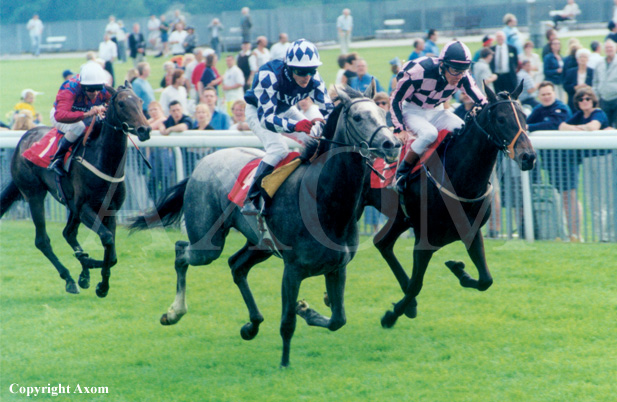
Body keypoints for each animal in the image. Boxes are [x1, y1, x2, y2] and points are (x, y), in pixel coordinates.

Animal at [0, 82, 150, 296]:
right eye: (121, 103)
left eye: (140, 101)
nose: (145, 129)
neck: (104, 161)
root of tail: (24, 138)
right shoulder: (84, 207)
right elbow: (106, 238)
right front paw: (94, 273)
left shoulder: (109, 209)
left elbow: (111, 253)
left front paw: (99, 282)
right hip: (34, 195)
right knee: (42, 240)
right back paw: (70, 278)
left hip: (70, 204)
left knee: (68, 233)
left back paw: (83, 271)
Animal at [129, 84, 400, 368]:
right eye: (358, 117)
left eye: (382, 112)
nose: (392, 144)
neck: (324, 199)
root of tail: (201, 164)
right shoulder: (292, 269)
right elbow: (288, 323)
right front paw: (284, 363)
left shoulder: (337, 267)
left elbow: (338, 319)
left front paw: (307, 310)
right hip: (208, 243)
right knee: (182, 250)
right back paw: (174, 312)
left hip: (260, 245)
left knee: (236, 266)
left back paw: (252, 325)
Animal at [372, 81, 536, 326]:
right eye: (501, 119)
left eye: (525, 116)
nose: (528, 157)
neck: (458, 176)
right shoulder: (426, 239)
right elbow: (416, 284)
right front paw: (391, 316)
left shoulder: (471, 231)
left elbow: (486, 280)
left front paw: (459, 269)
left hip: (399, 218)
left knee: (382, 243)